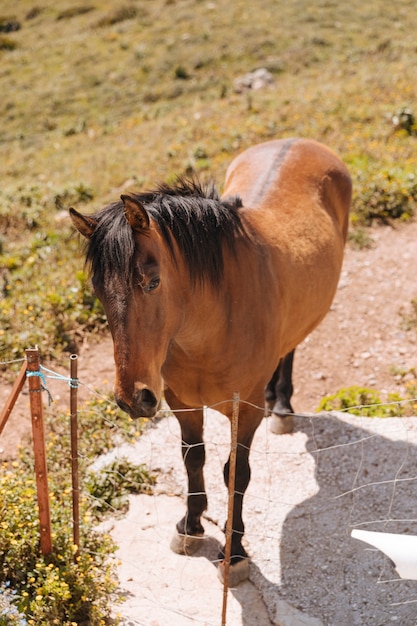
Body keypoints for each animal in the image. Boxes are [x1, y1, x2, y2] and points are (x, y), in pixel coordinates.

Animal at [70, 138, 352, 584]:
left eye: (152, 281)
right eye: (98, 289)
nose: (134, 399)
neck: (214, 325)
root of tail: (303, 143)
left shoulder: (245, 412)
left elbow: (236, 473)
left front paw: (233, 552)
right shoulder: (181, 402)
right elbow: (193, 458)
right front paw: (190, 526)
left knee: (290, 348)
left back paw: (281, 405)